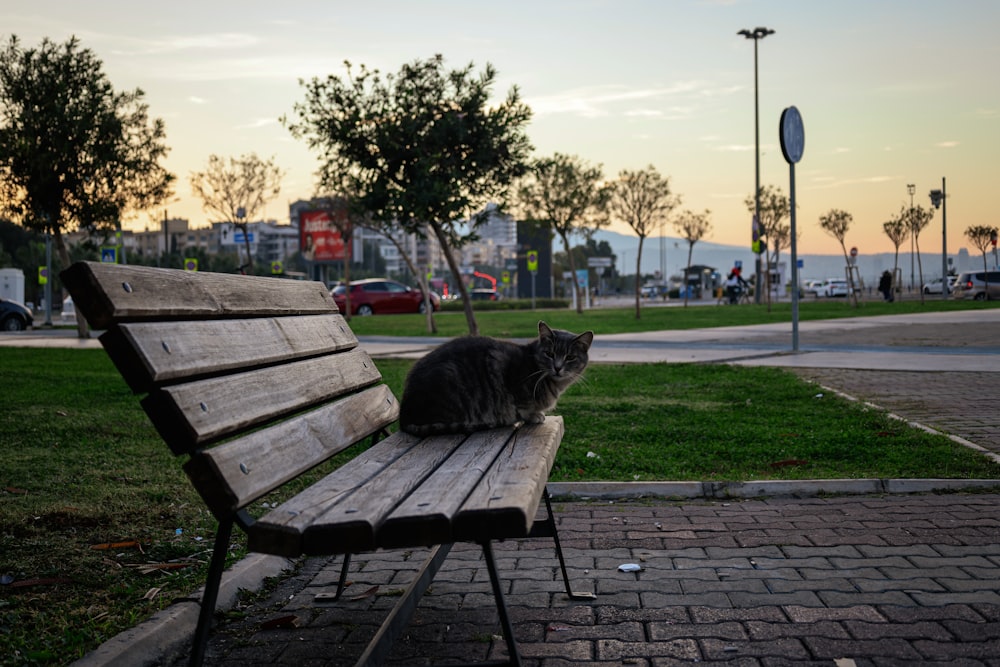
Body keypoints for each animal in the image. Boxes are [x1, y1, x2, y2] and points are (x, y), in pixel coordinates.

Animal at [400, 320, 592, 436]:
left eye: (570, 357)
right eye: (549, 354)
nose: (558, 367)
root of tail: (404, 417)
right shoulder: (516, 388)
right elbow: (524, 407)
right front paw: (534, 416)